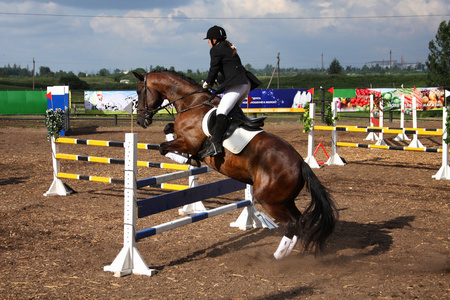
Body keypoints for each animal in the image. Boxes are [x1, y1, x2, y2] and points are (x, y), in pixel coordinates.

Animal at [132, 70, 336, 258]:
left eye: (139, 91)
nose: (141, 120)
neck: (192, 103)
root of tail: (301, 163)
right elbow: (167, 129)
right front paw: (190, 159)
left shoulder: (189, 143)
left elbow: (163, 148)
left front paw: (187, 159)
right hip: (284, 200)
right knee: (298, 221)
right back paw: (286, 252)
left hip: (269, 199)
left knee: (292, 223)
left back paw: (277, 256)